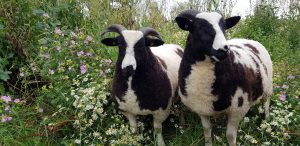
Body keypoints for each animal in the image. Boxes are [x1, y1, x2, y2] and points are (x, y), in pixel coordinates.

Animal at [175, 10, 274, 146]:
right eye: (198, 28)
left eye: (224, 28)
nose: (224, 49)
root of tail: (249, 40)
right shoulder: (202, 109)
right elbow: (207, 130)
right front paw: (208, 143)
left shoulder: (237, 110)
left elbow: (230, 136)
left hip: (268, 87)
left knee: (266, 104)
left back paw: (267, 120)